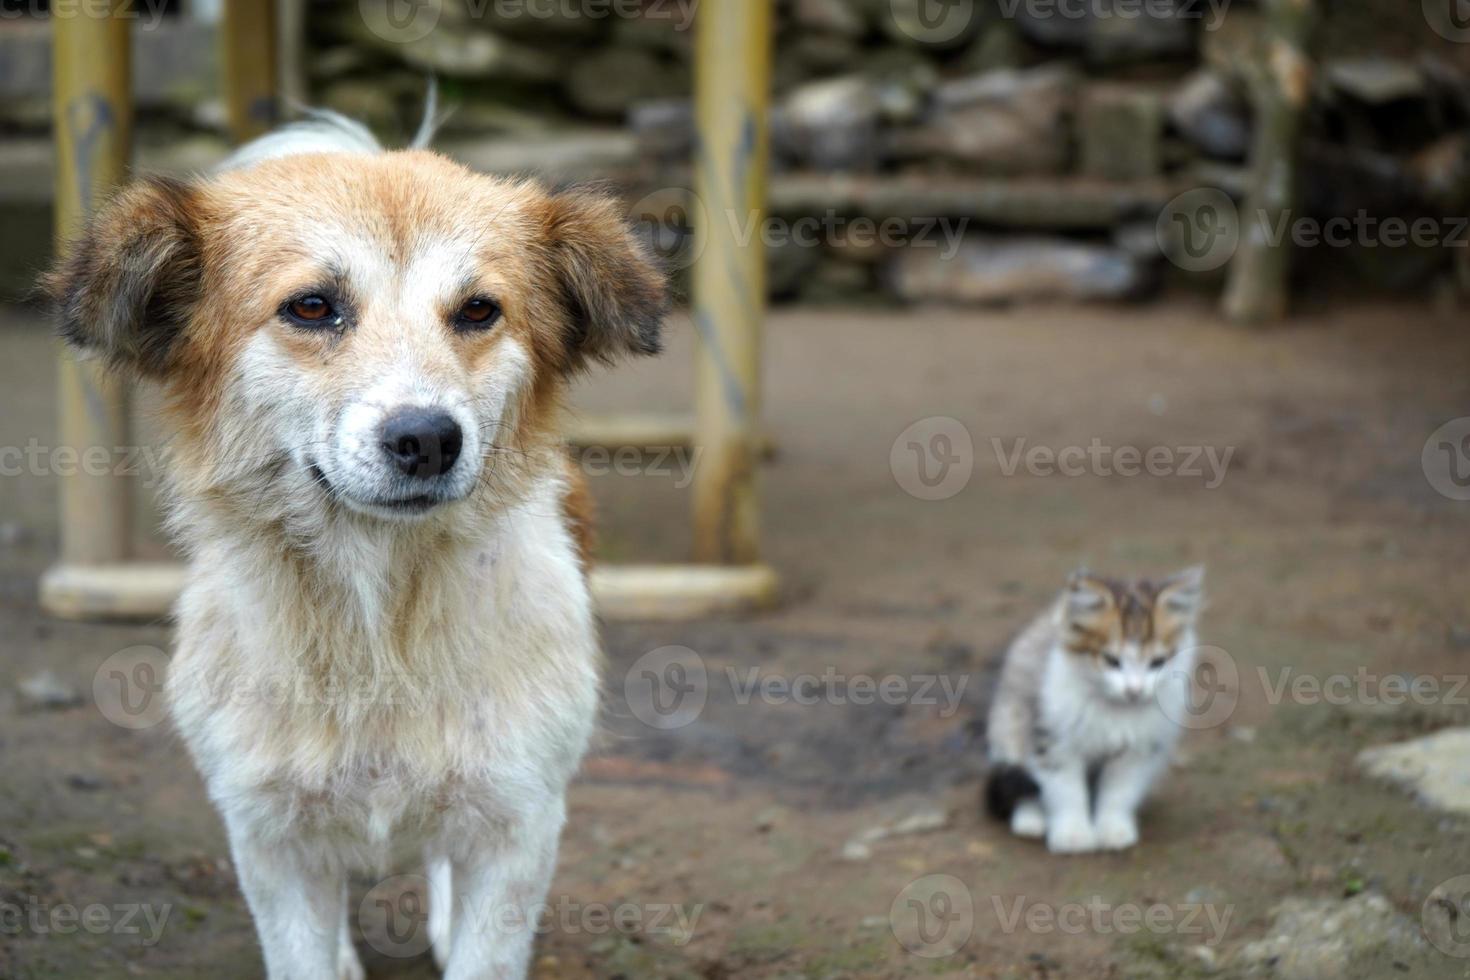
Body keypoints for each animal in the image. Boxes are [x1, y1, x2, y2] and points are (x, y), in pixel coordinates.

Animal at [44, 110, 667, 975]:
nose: (428, 439)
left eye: (479, 311)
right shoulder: (267, 835)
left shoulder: (520, 825)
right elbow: (299, 945)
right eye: (312, 307)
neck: (377, 618)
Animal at [987, 567, 1205, 852]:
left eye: (1157, 662)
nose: (1134, 690)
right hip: (1009, 722)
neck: (1115, 711)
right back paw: (1030, 819)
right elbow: (1065, 789)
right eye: (1111, 660)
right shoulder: (1052, 737)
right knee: (1021, 779)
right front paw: (1073, 834)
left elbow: (1118, 791)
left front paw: (1112, 829)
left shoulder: (1140, 749)